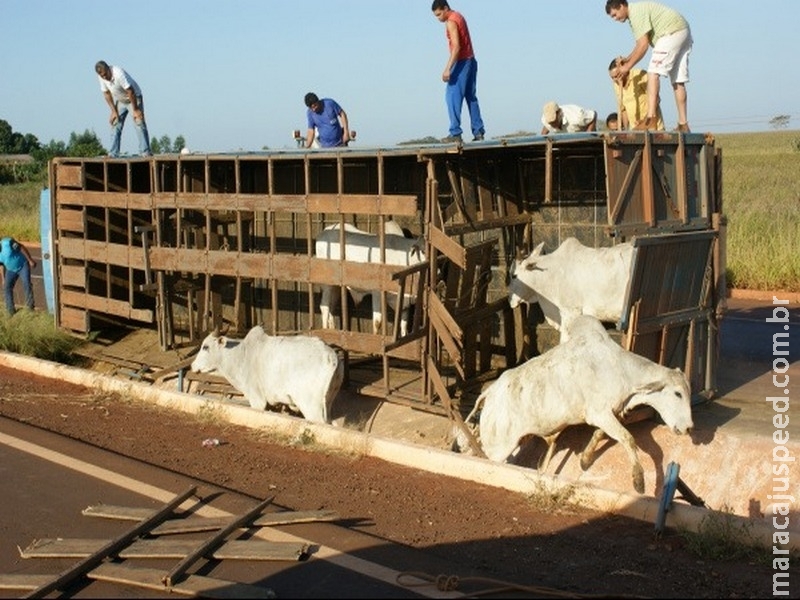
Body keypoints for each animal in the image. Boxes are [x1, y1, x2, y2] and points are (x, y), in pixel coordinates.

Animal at [195, 326, 346, 424]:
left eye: (205, 347)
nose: (193, 366)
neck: (242, 354)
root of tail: (332, 356)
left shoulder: (257, 400)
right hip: (328, 404)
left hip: (311, 407)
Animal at [456, 314, 692, 492]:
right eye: (678, 393)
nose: (689, 427)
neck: (621, 369)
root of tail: (490, 393)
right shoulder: (599, 413)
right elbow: (628, 438)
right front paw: (638, 480)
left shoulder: (608, 415)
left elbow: (601, 434)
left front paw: (585, 460)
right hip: (498, 447)